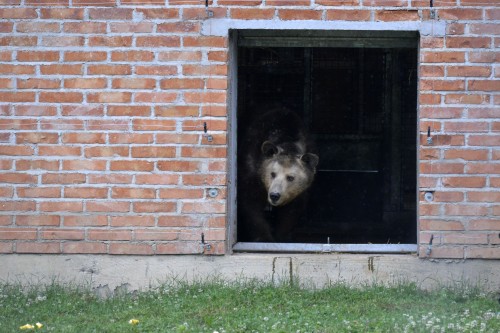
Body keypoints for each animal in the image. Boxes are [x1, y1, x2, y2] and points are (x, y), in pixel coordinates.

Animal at [237, 109, 316, 241]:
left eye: (290, 177)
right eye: (272, 173)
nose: (274, 195)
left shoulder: (300, 191)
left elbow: (291, 212)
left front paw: (281, 236)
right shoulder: (250, 167)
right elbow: (251, 204)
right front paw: (264, 237)